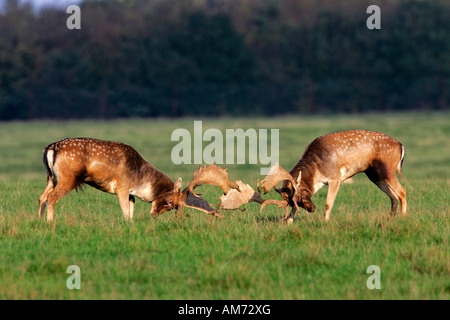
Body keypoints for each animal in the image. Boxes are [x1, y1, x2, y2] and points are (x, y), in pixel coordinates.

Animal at [38, 138, 239, 222]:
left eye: (171, 208)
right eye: (169, 202)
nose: (154, 215)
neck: (141, 181)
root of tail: (50, 148)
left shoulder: (130, 193)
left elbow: (132, 209)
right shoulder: (121, 187)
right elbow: (126, 212)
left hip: (51, 178)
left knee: (42, 197)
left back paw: (39, 221)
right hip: (68, 177)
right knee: (52, 198)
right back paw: (50, 222)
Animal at [225, 130, 408, 222]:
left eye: (302, 196)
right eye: (293, 201)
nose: (312, 209)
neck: (317, 171)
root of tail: (401, 145)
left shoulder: (335, 178)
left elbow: (328, 202)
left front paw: (325, 221)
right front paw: (289, 221)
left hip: (387, 169)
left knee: (402, 191)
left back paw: (403, 217)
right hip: (373, 174)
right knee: (393, 195)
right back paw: (391, 217)